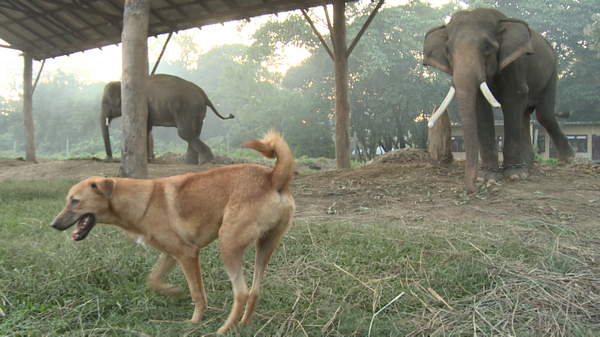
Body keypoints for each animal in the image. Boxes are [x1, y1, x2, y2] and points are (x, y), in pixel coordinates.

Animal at [51, 131, 296, 334]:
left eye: (75, 201)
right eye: (68, 200)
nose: (54, 224)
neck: (143, 201)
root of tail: (273, 177)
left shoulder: (187, 254)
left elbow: (196, 293)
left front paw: (195, 321)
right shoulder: (171, 254)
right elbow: (153, 279)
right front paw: (172, 290)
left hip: (228, 245)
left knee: (242, 293)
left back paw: (224, 329)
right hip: (264, 247)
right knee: (254, 292)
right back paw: (243, 324)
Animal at [99, 73, 233, 164]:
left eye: (106, 103)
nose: (109, 158)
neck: (122, 83)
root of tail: (203, 94)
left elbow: (144, 128)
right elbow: (147, 129)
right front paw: (148, 161)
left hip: (188, 109)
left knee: (185, 133)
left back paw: (205, 161)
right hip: (198, 112)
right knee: (194, 132)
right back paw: (192, 163)